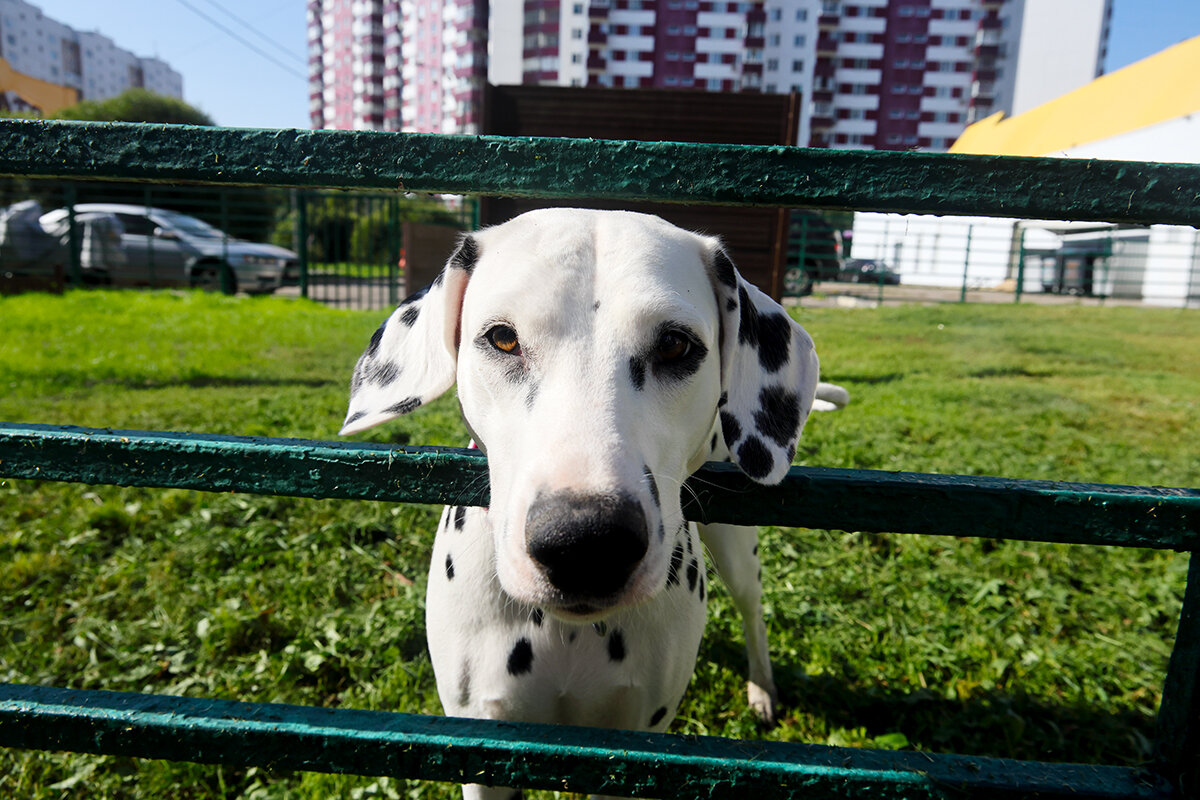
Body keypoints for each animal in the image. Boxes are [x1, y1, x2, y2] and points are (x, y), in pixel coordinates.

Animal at [343, 209, 840, 796]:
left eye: (675, 345)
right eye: (503, 338)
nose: (583, 542)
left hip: (739, 553)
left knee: (752, 612)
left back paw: (762, 687)